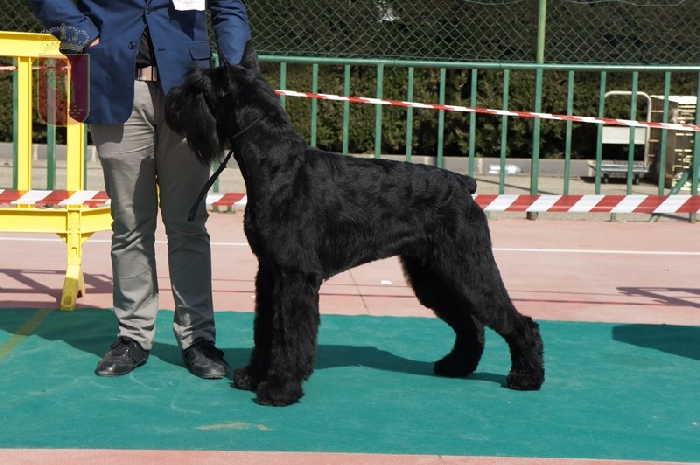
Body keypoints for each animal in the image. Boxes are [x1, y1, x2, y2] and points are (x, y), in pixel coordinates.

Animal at [165, 64, 545, 406]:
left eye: (196, 87)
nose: (170, 103)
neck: (277, 166)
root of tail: (463, 185)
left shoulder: (295, 275)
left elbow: (288, 333)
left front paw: (280, 389)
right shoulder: (271, 272)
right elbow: (266, 328)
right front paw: (255, 376)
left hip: (467, 267)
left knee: (518, 322)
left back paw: (527, 377)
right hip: (434, 275)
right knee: (470, 324)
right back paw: (456, 366)